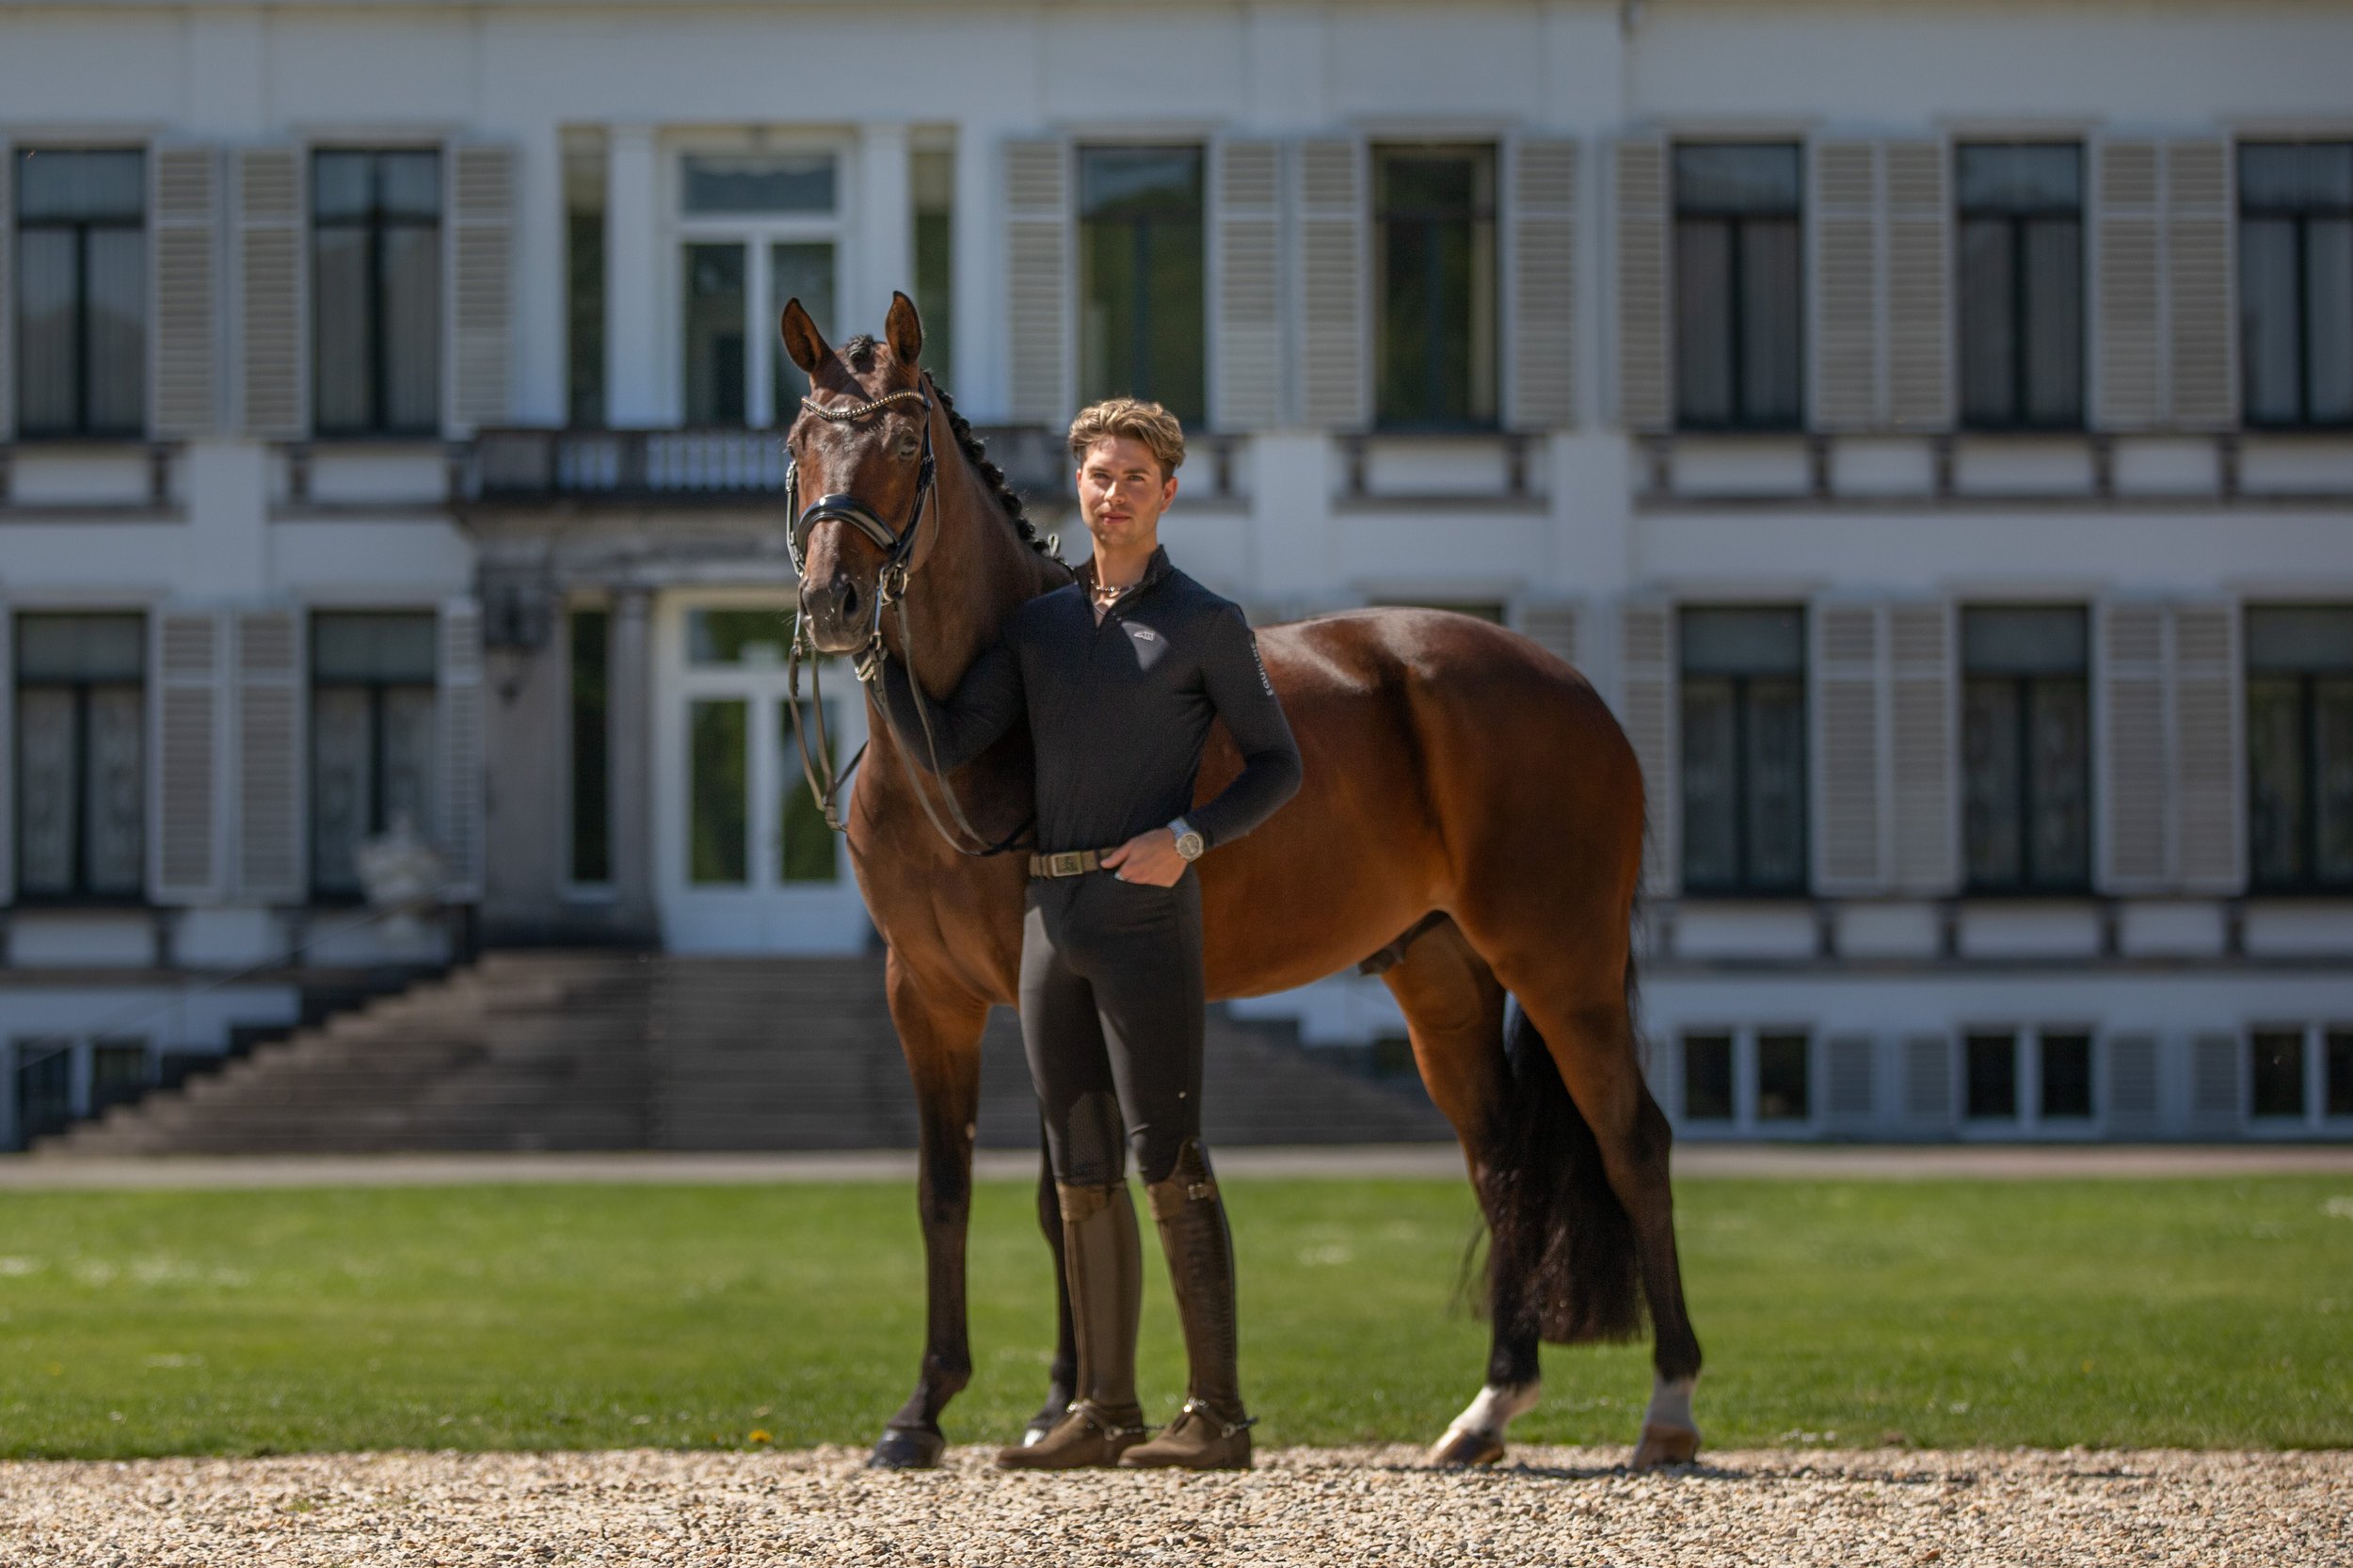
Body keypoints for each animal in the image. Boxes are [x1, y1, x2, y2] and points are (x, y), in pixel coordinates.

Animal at [780, 291, 1702, 1472]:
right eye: (799, 444)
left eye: (904, 445)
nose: (835, 602)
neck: (956, 748)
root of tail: (1572, 689)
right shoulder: (925, 992)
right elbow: (948, 1191)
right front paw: (922, 1411)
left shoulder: (1031, 989)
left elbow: (1052, 1190)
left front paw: (1054, 1401)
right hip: (1440, 973)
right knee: (1500, 1157)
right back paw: (1487, 1408)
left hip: (1561, 961)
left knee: (1633, 1140)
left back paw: (1667, 1408)